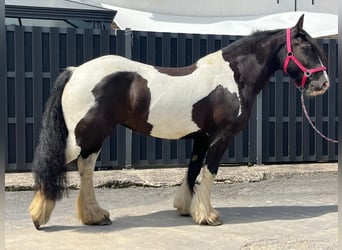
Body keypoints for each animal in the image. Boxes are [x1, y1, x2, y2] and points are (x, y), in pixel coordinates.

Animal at [28, 15, 328, 229]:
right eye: (305, 47)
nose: (322, 83)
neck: (232, 77)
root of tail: (76, 71)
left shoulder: (201, 137)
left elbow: (193, 171)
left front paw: (186, 208)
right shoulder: (221, 137)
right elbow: (210, 171)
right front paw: (208, 216)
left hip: (94, 136)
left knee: (86, 170)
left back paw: (95, 215)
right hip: (83, 136)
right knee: (56, 165)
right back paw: (39, 216)